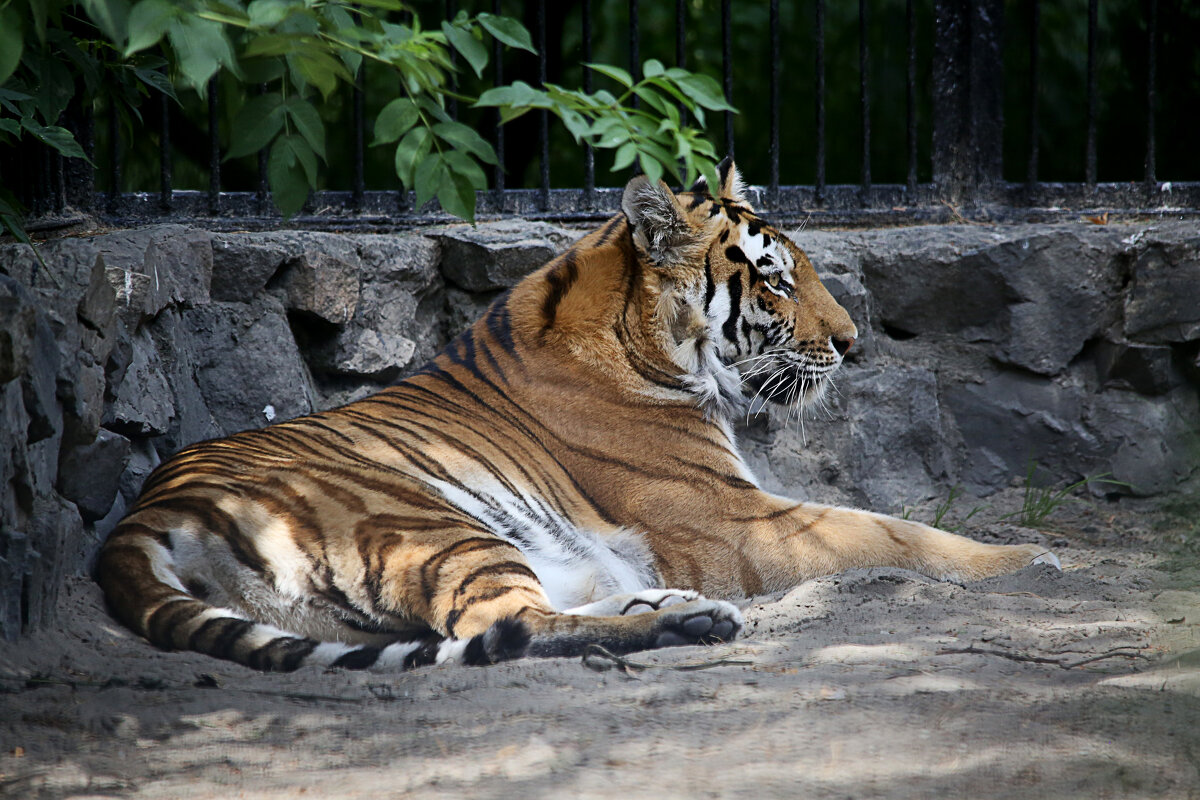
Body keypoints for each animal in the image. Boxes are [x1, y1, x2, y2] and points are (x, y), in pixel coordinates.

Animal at [100, 159, 1060, 671]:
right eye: (776, 280)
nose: (855, 343)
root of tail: (141, 517)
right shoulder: (739, 521)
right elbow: (895, 533)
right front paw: (1032, 559)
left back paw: (668, 604)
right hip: (428, 522)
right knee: (504, 627)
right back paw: (688, 621)